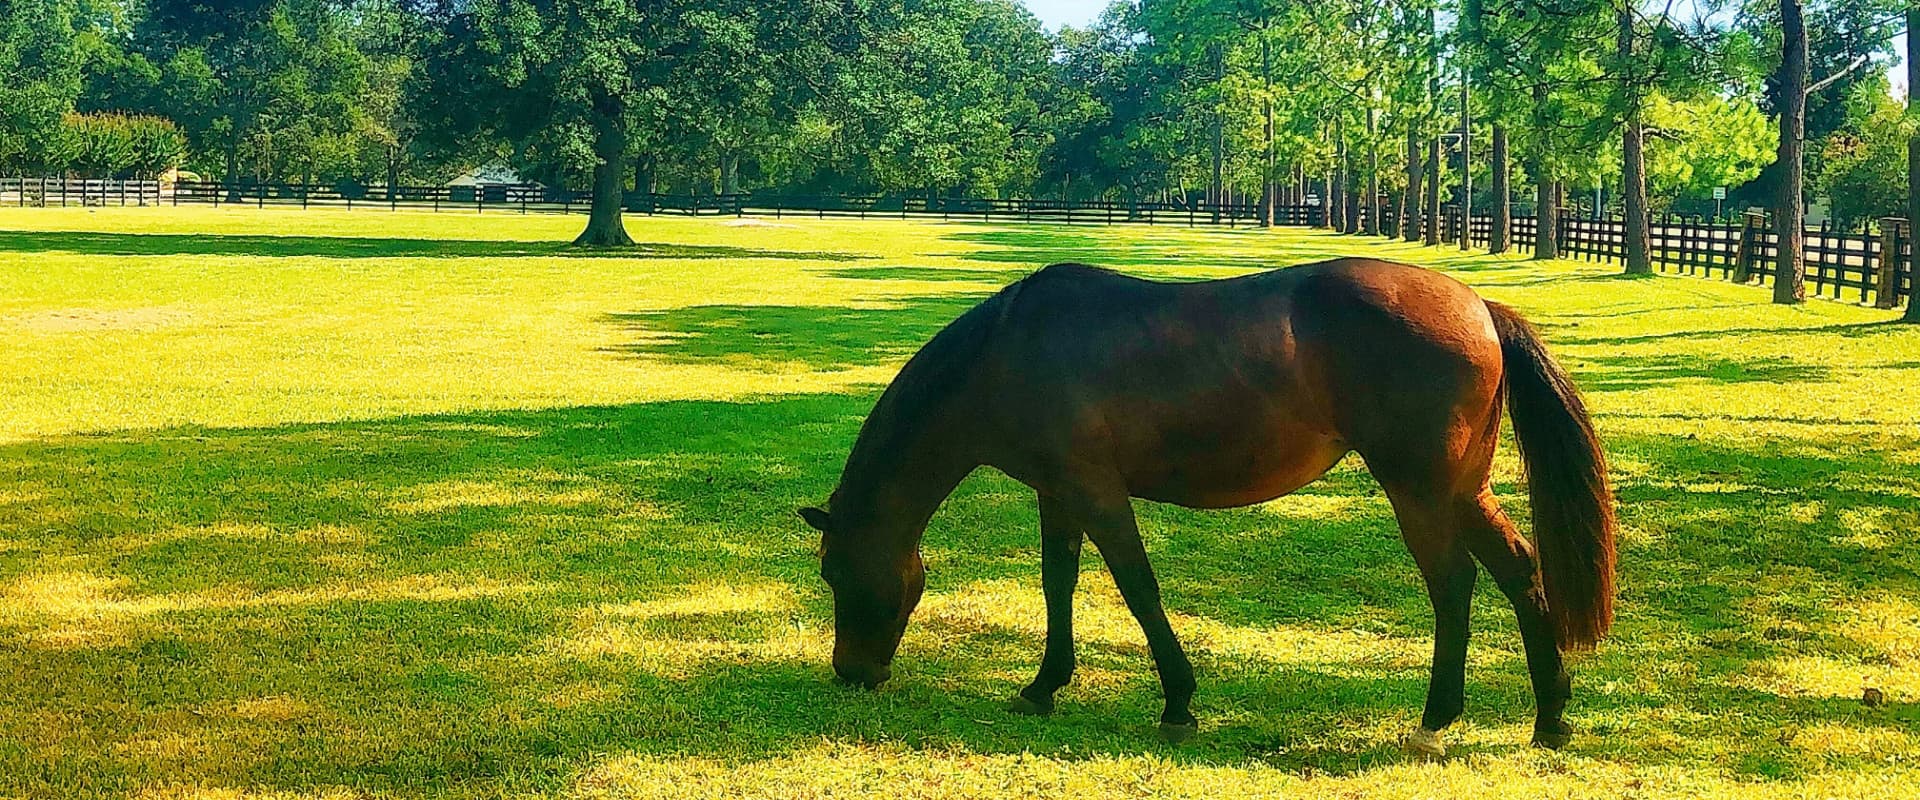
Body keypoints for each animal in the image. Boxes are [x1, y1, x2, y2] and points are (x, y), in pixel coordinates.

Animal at [798, 258, 1615, 756]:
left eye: (836, 574)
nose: (851, 673)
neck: (1006, 356)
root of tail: (1479, 306)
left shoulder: (1096, 491)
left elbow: (1137, 587)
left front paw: (1178, 702)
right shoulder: (1057, 492)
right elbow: (1058, 583)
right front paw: (1044, 686)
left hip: (1420, 490)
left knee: (1453, 586)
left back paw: (1434, 723)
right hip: (1463, 490)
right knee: (1520, 572)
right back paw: (1551, 718)